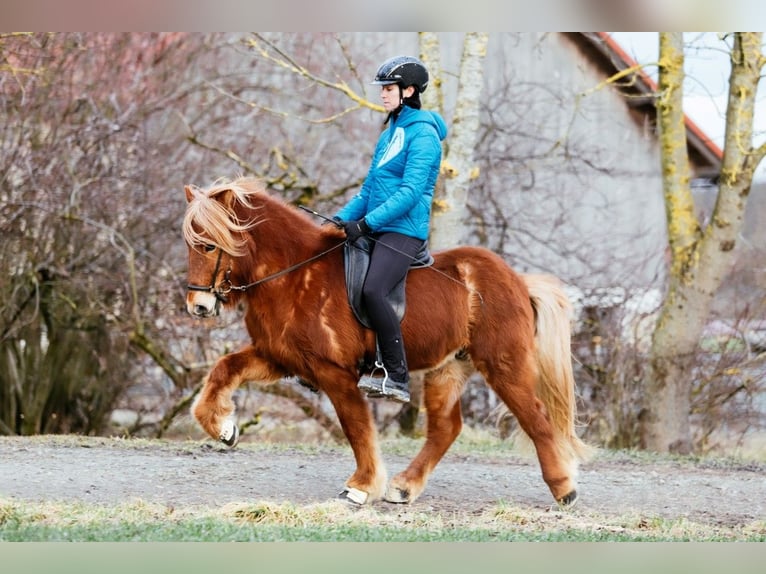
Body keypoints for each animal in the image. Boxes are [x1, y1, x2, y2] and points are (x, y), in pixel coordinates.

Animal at [183, 176, 592, 508]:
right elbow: (223, 369)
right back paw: (405, 487)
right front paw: (223, 429)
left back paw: (564, 489)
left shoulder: (335, 373)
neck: (294, 275)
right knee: (446, 428)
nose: (198, 306)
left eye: (209, 246)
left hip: (504, 364)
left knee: (536, 418)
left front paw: (361, 487)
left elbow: (357, 428)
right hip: (449, 367)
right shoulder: (279, 357)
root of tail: (519, 282)